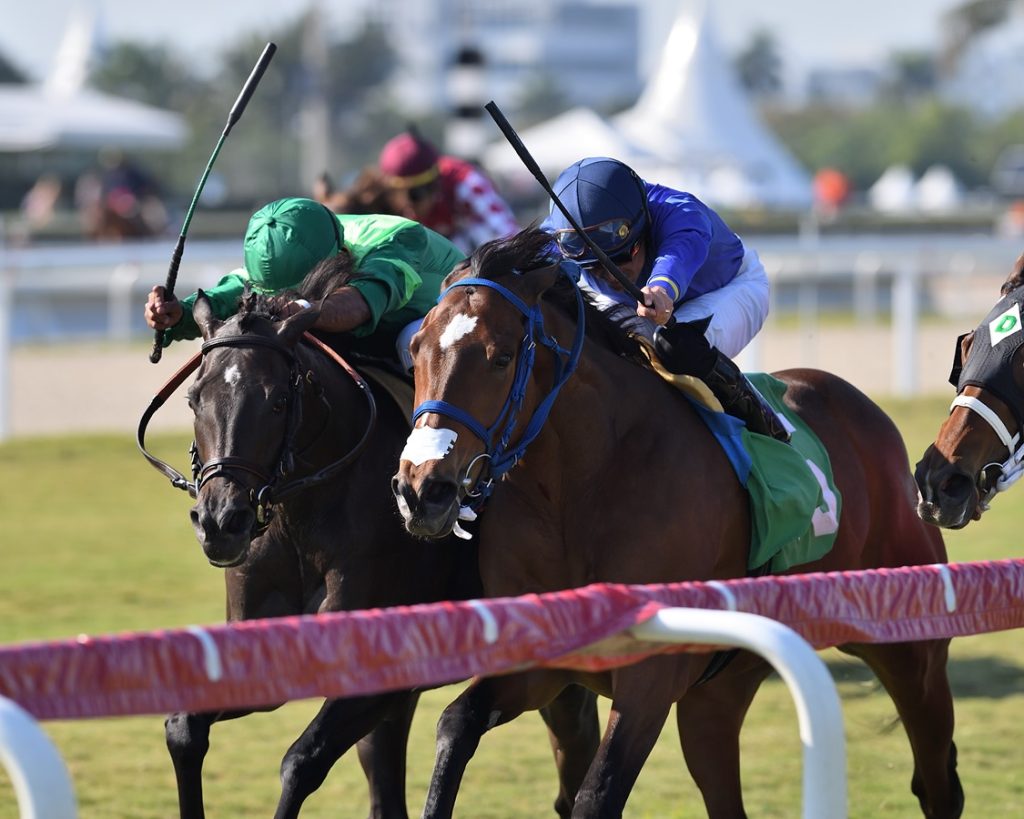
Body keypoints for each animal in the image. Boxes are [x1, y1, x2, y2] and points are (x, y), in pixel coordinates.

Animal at [391, 227, 966, 814]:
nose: (423, 491)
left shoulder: (651, 675)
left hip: (910, 648)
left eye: (501, 357)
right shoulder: (546, 659)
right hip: (719, 691)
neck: (582, 487)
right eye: (414, 350)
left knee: (936, 775)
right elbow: (455, 724)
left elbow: (596, 794)